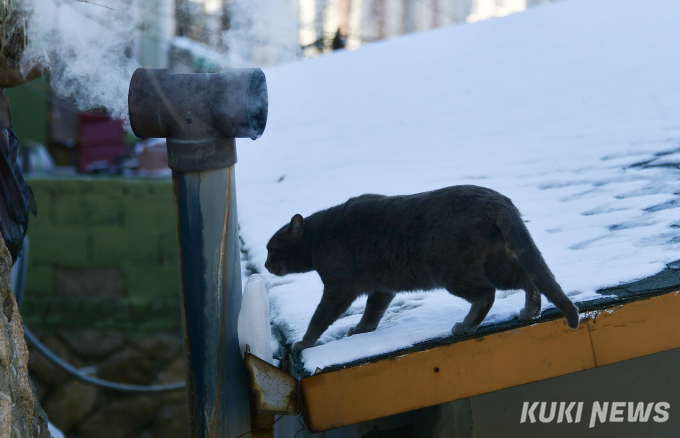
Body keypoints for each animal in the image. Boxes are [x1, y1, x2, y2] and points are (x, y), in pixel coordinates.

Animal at [266, 185, 580, 352]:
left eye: (273, 249)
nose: (267, 264)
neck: (317, 239)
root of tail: (498, 200)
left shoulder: (338, 288)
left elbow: (320, 316)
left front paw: (303, 343)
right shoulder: (382, 288)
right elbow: (372, 312)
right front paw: (361, 330)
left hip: (451, 270)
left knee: (486, 294)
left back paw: (464, 327)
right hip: (496, 263)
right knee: (529, 279)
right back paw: (529, 312)